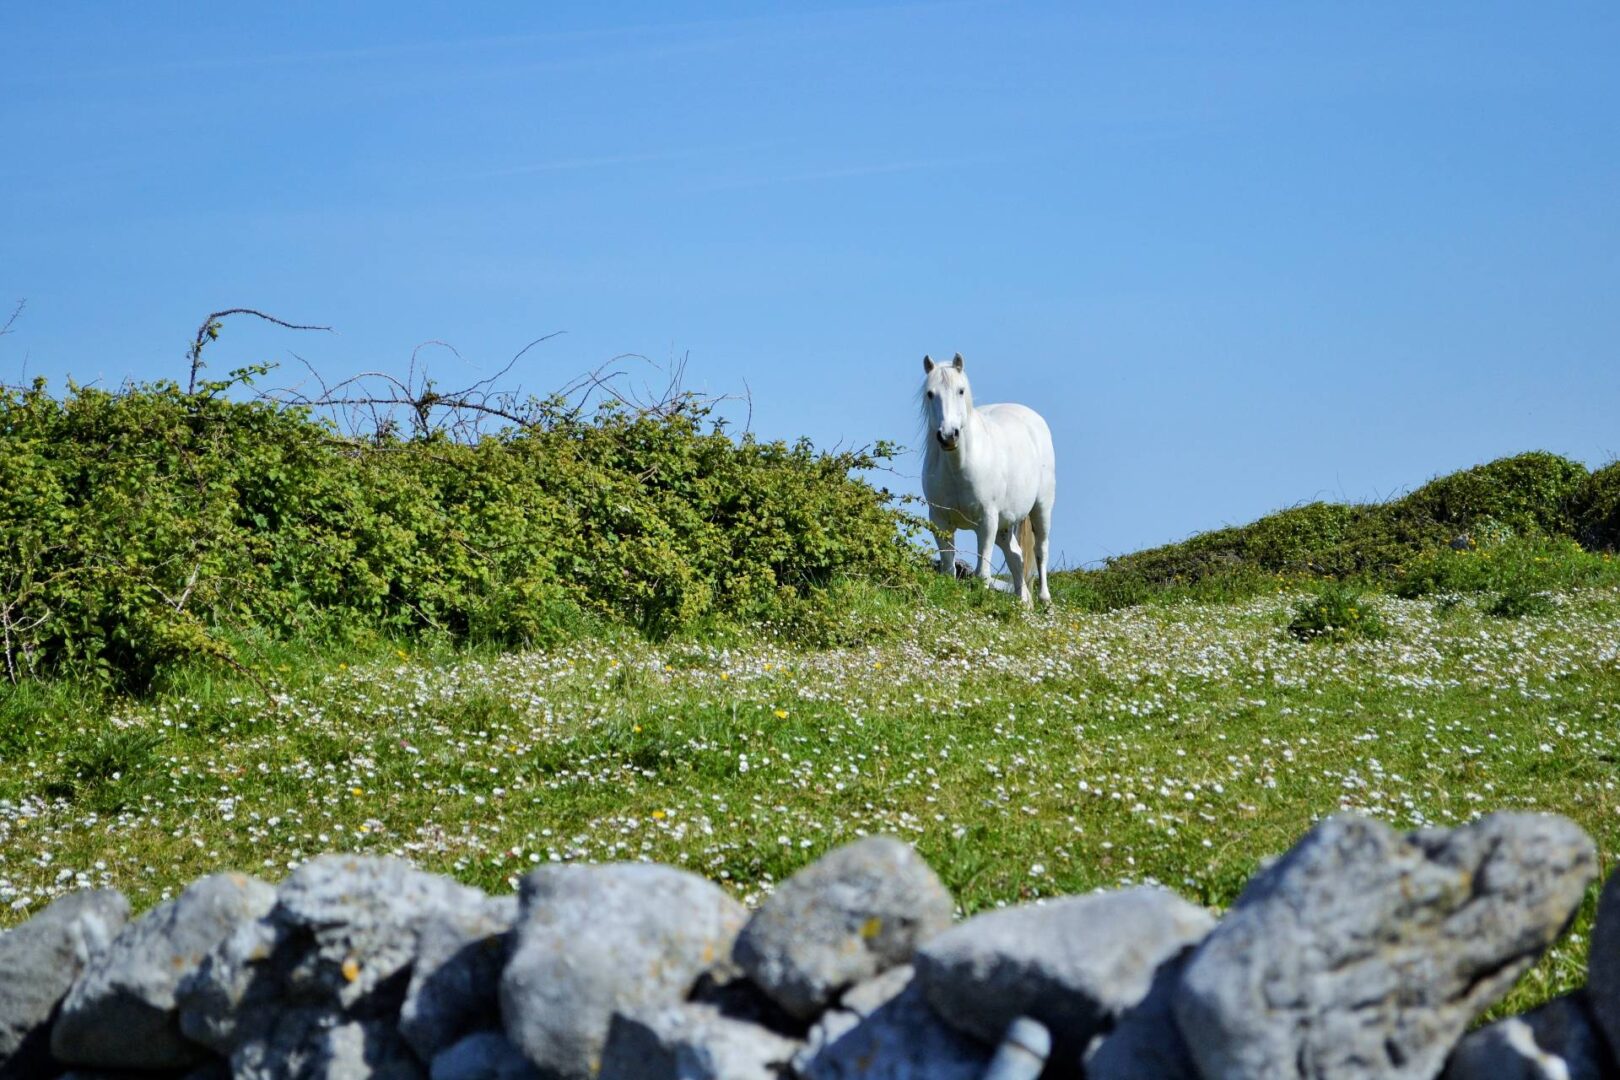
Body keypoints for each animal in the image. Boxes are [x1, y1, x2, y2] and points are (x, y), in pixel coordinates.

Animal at [920, 356, 1056, 605]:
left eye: (961, 390)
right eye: (930, 393)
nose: (948, 436)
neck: (959, 468)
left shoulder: (987, 521)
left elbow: (982, 573)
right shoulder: (940, 521)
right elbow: (948, 569)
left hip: (1041, 509)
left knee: (1041, 550)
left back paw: (1044, 600)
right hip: (1004, 525)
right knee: (1016, 556)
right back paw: (1023, 602)